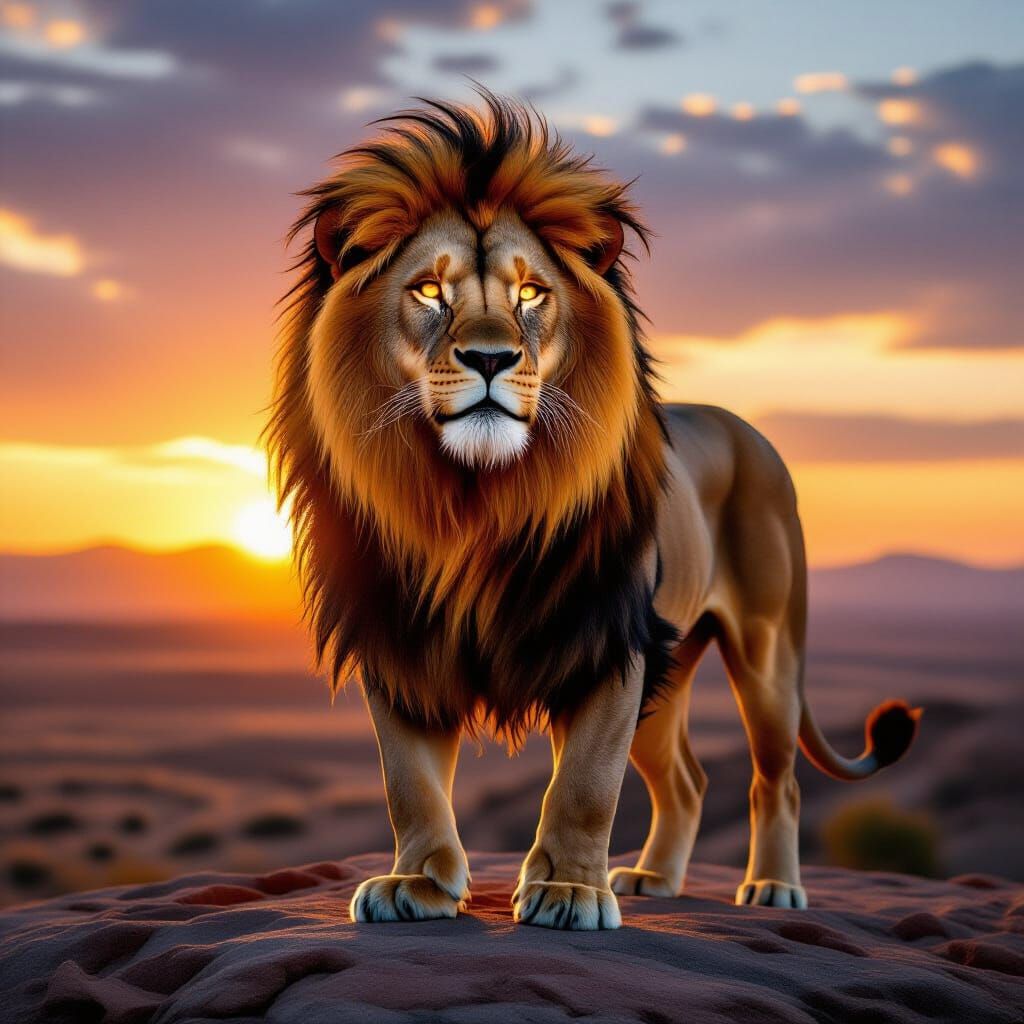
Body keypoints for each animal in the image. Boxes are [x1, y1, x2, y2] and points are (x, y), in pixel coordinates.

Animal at [267, 92, 920, 930]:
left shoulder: (609, 641)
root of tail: (747, 431)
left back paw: (774, 887)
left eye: (531, 294)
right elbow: (408, 782)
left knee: (776, 779)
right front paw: (417, 883)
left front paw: (569, 891)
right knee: (687, 779)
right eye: (429, 292)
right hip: (672, 669)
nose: (490, 358)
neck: (473, 501)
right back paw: (653, 878)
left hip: (767, 654)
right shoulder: (401, 639)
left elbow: (584, 783)